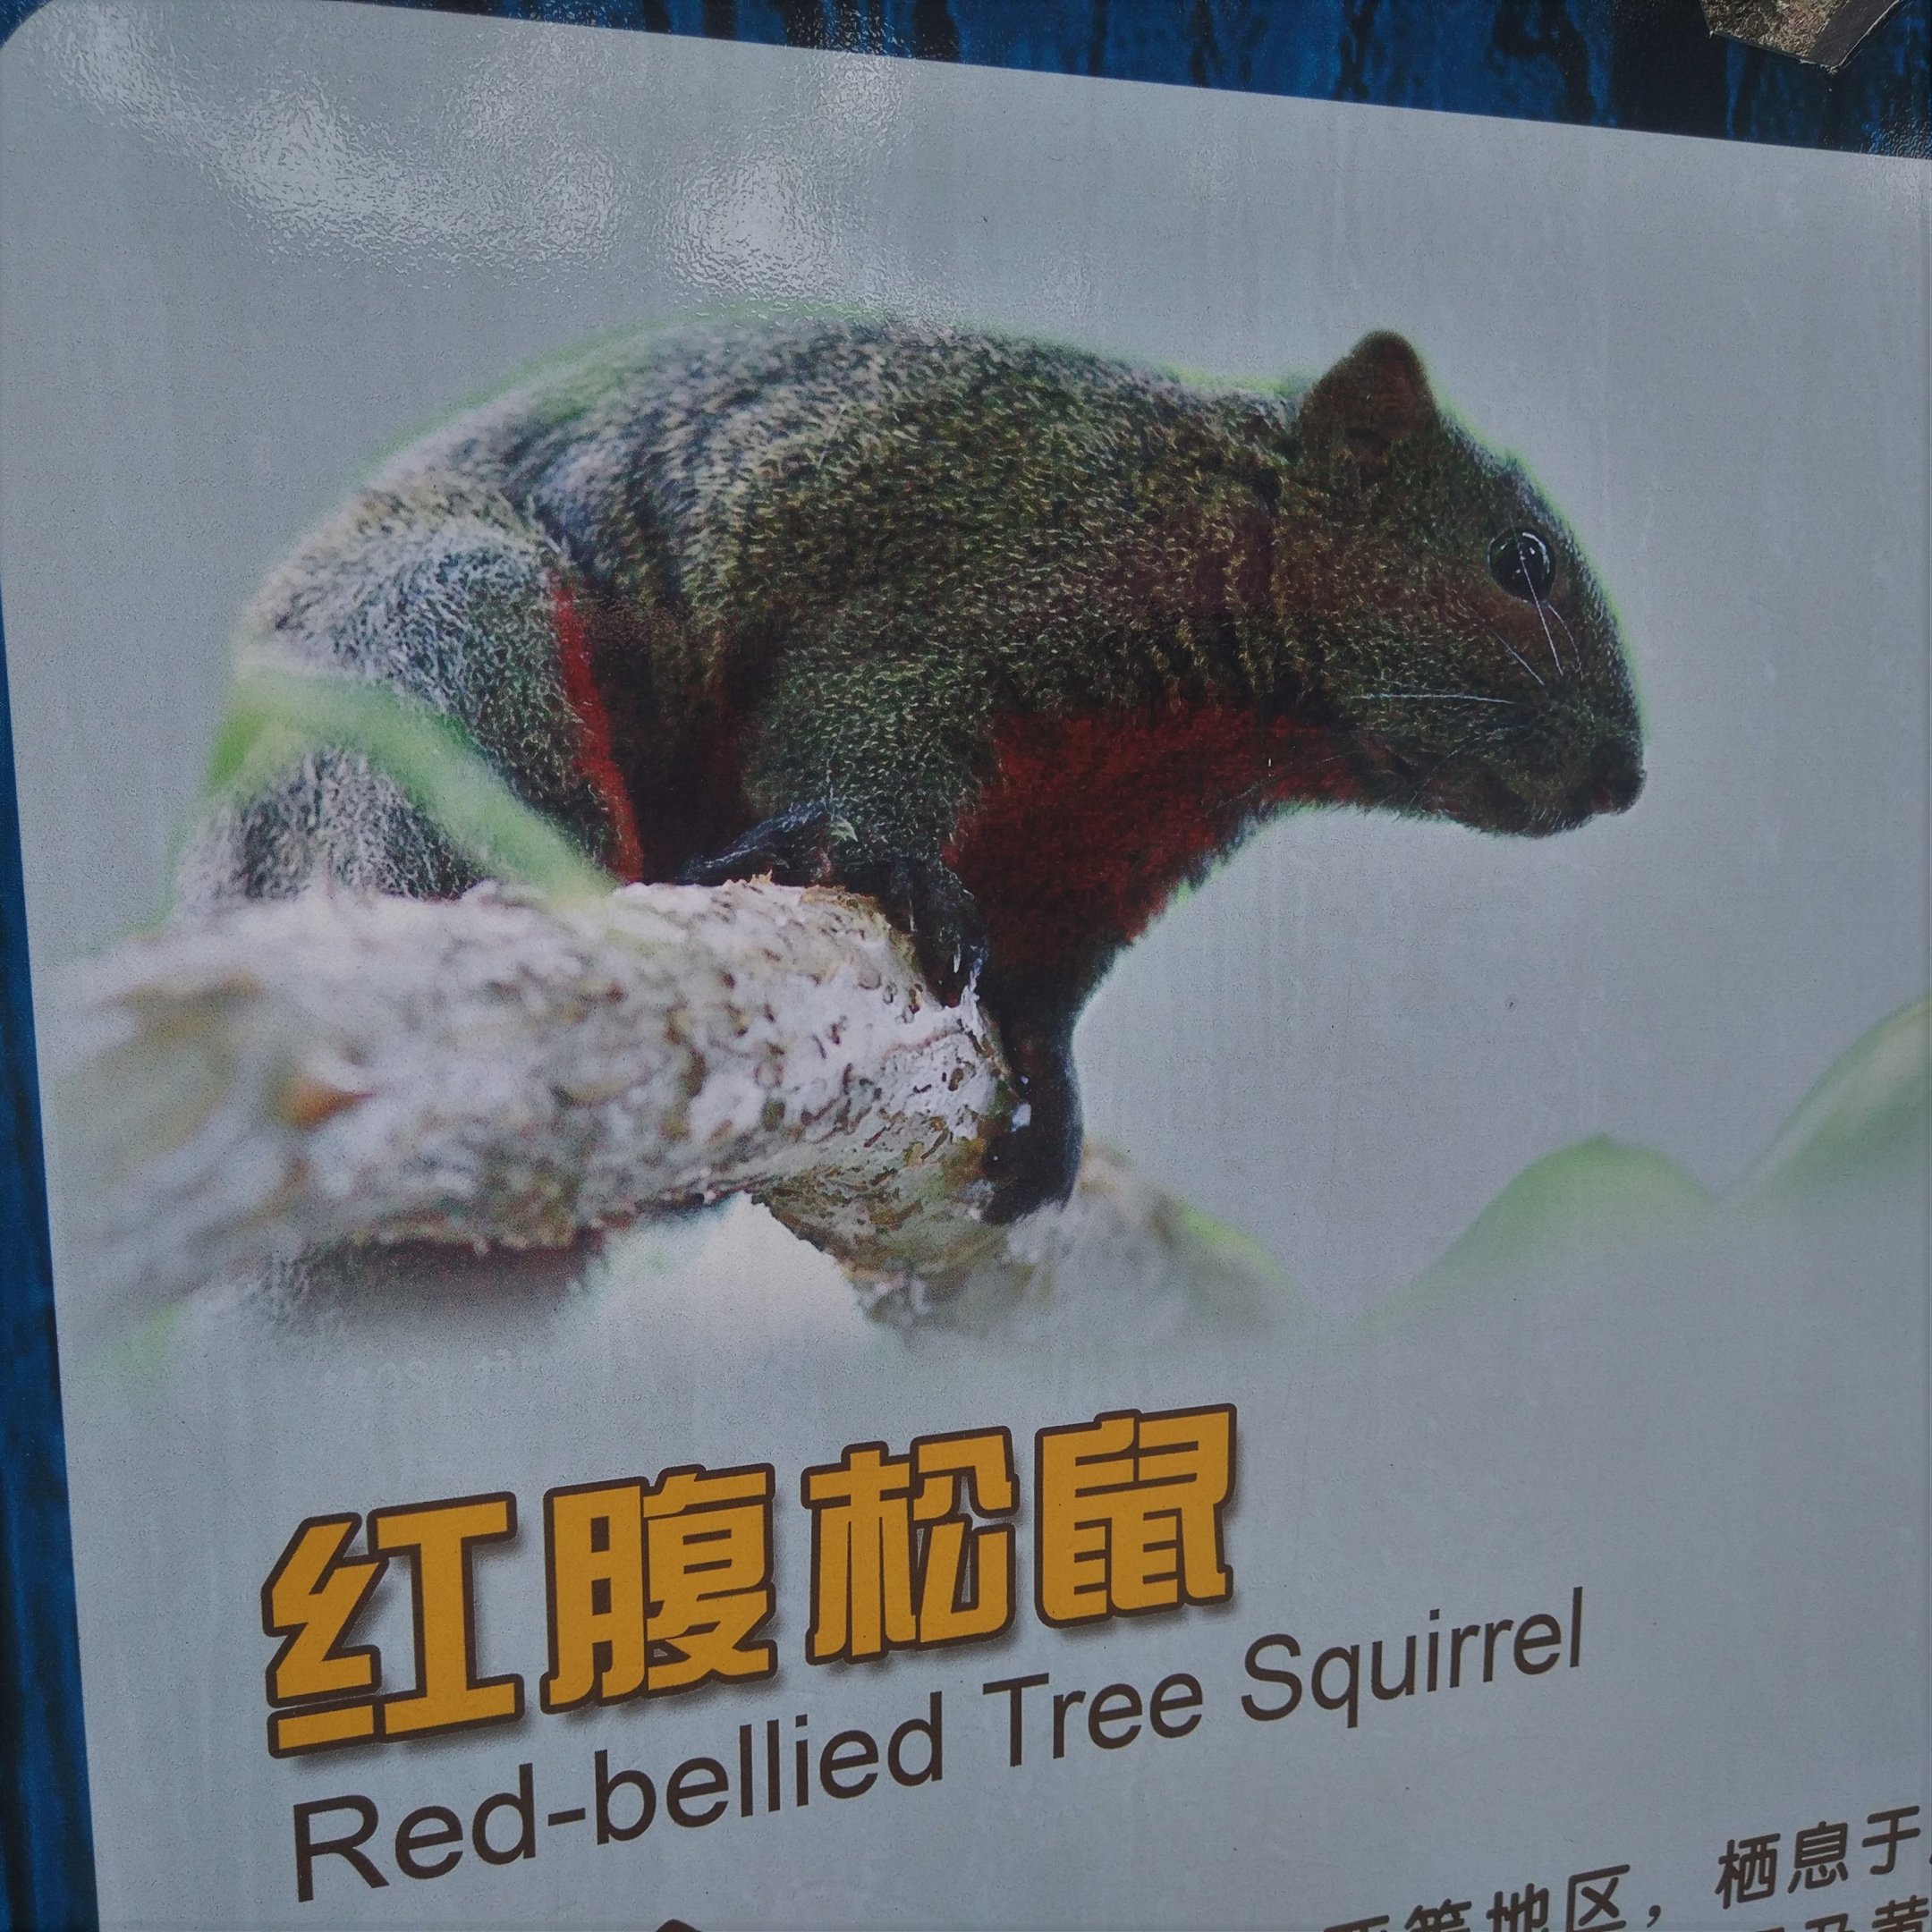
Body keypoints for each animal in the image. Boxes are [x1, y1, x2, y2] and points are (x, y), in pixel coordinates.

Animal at [182, 315, 1644, 1223]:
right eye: (1521, 563)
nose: (1624, 781)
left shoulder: (1108, 843)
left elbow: (1050, 982)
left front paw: (1049, 1088)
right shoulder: (946, 598)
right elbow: (851, 740)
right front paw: (872, 861)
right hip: (442, 637)